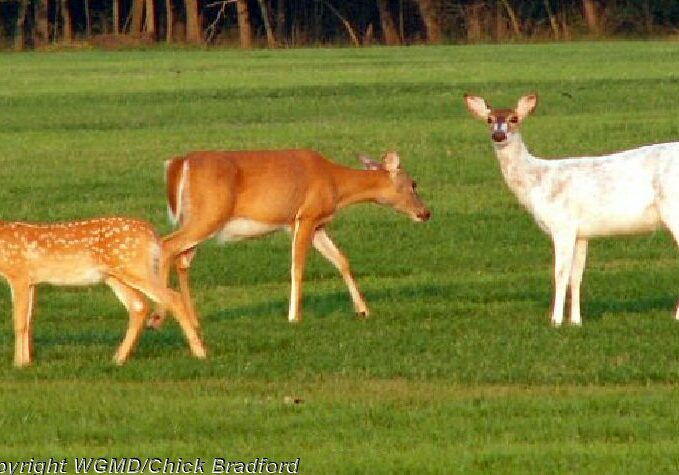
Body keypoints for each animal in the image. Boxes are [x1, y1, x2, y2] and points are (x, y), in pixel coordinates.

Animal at [0, 217, 207, 368]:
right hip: (115, 276)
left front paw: (18, 364)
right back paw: (118, 358)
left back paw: (200, 353)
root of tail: (153, 235)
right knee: (138, 306)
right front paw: (27, 362)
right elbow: (28, 321)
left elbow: (19, 322)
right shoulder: (31, 282)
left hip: (135, 268)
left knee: (172, 297)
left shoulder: (19, 275)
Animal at [149, 150, 430, 328]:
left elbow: (341, 260)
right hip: (208, 214)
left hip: (198, 219)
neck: (335, 183)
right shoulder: (305, 216)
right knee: (168, 245)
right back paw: (157, 317)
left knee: (182, 259)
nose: (425, 213)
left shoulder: (317, 225)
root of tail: (180, 163)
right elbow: (297, 267)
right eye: (413, 183)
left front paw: (363, 310)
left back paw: (192, 319)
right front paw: (294, 316)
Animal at [464, 92, 679, 328]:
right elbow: (576, 276)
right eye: (489, 119)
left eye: (514, 118)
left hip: (673, 208)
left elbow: (560, 273)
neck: (538, 184)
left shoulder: (562, 224)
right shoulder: (581, 232)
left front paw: (556, 321)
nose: (498, 135)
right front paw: (576, 320)